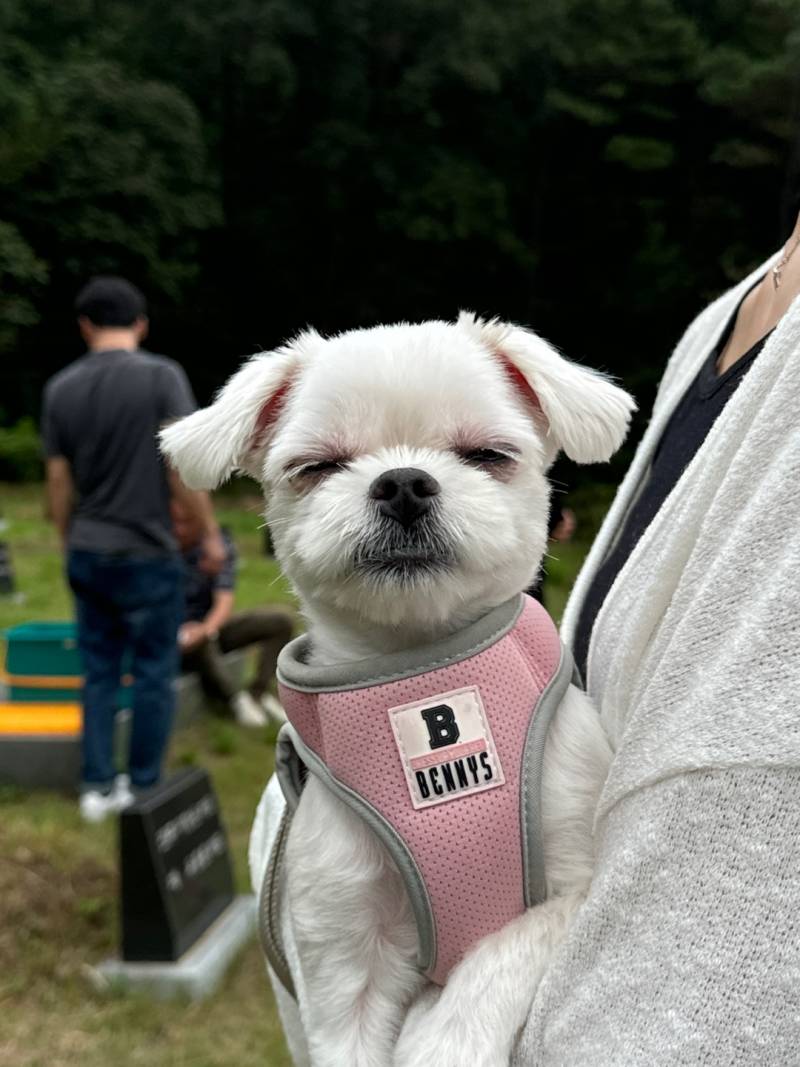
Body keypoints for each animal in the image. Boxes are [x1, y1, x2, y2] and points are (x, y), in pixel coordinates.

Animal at [163, 311, 635, 1067]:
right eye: (318, 466)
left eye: (487, 454)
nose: (404, 482)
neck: (420, 667)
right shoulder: (340, 941)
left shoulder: (572, 881)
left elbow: (497, 958)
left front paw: (443, 1041)